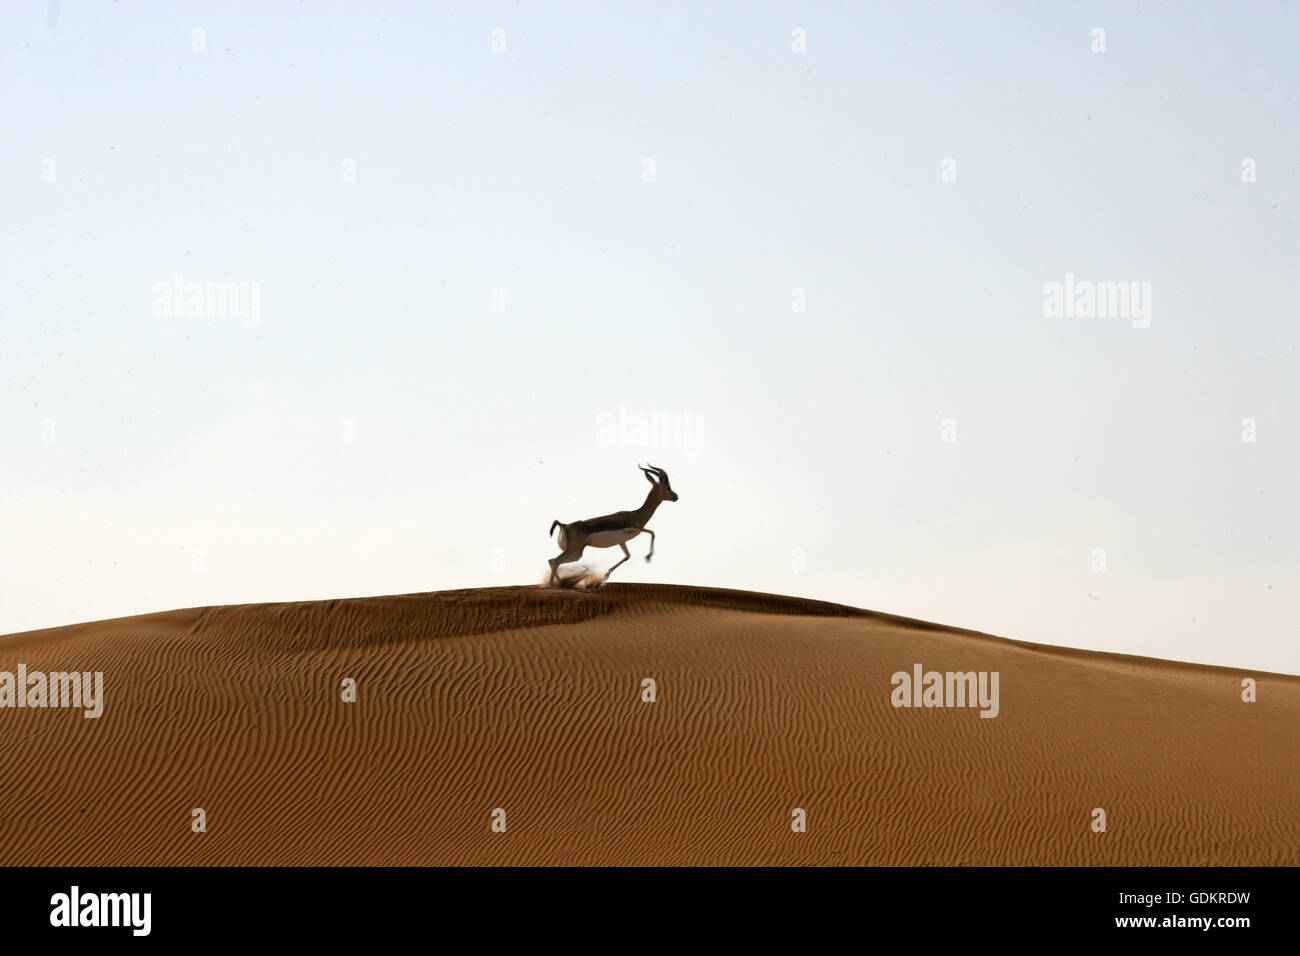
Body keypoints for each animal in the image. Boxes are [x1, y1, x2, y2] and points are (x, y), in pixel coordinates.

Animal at [547, 464, 679, 586]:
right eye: (668, 487)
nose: (676, 497)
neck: (637, 514)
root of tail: (564, 525)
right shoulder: (632, 528)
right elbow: (652, 532)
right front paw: (648, 556)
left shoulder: (622, 541)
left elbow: (627, 556)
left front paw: (606, 575)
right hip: (573, 549)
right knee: (556, 561)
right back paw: (552, 584)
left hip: (577, 553)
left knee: (552, 560)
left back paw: (560, 583)